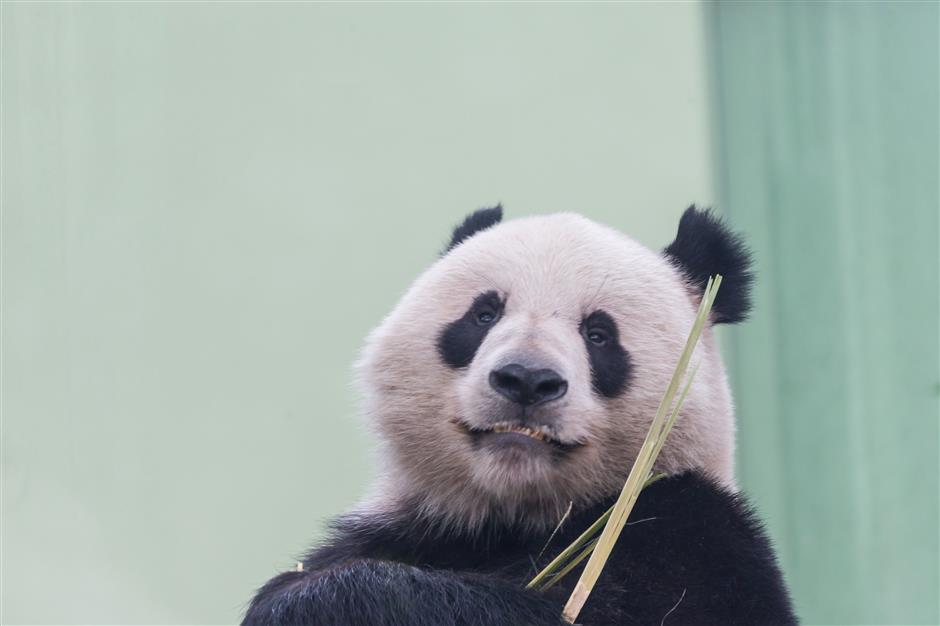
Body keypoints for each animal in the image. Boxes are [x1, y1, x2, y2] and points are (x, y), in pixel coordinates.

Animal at [243, 206, 797, 626]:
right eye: (483, 314)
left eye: (599, 334)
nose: (526, 379)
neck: (516, 516)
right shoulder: (414, 528)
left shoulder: (698, 540)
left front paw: (327, 599)